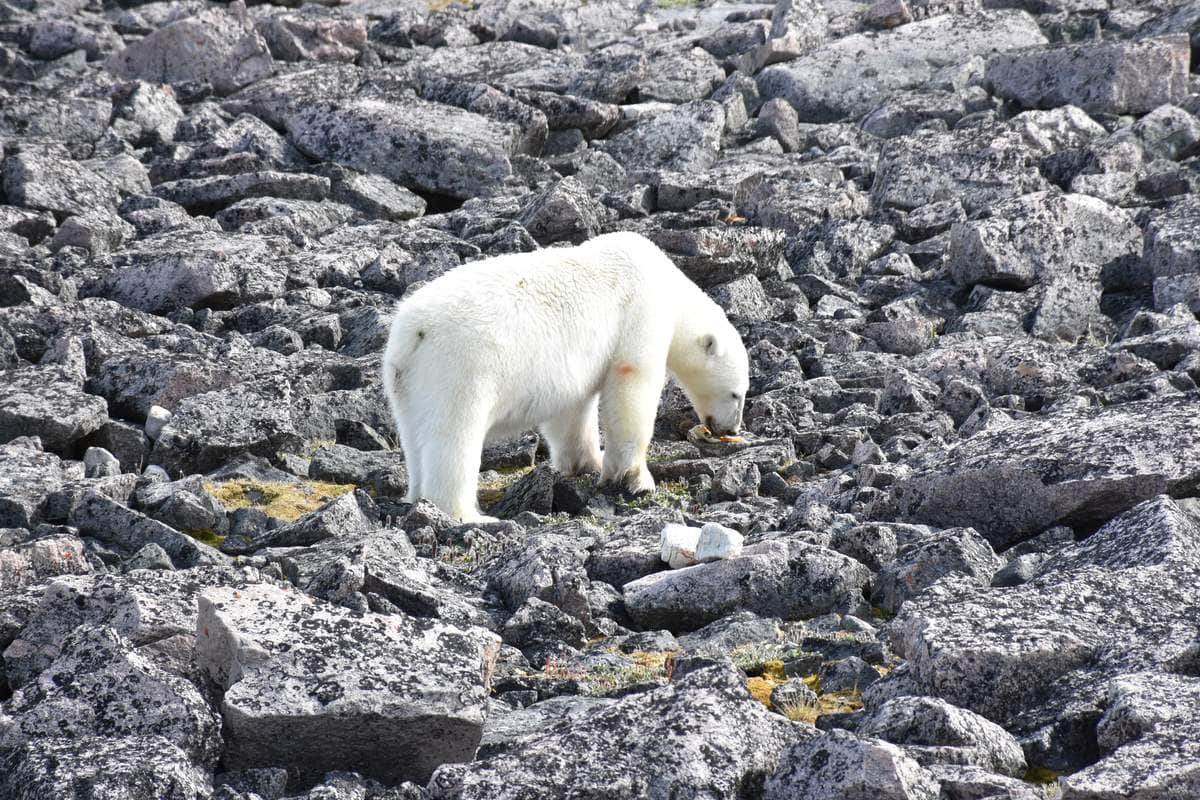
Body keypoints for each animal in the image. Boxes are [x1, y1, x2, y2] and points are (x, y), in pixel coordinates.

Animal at [379, 230, 744, 525]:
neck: (667, 284)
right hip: (461, 366)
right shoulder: (639, 315)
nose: (731, 429)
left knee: (413, 436)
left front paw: (588, 464)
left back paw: (417, 496)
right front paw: (637, 479)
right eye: (736, 394)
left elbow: (571, 412)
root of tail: (414, 333)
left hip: (405, 381)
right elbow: (632, 384)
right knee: (454, 435)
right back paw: (468, 515)